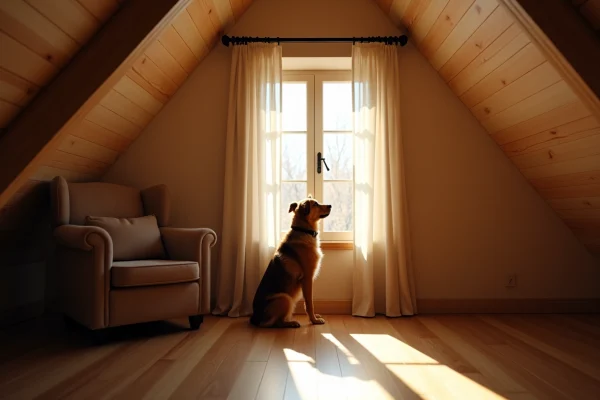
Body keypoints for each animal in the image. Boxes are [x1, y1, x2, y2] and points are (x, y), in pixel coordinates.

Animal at [250, 195, 332, 328]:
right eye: (315, 204)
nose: (330, 205)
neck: (303, 230)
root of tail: (254, 318)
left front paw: (314, 317)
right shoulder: (307, 278)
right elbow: (309, 303)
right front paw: (314, 320)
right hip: (285, 298)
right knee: (273, 323)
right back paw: (291, 323)